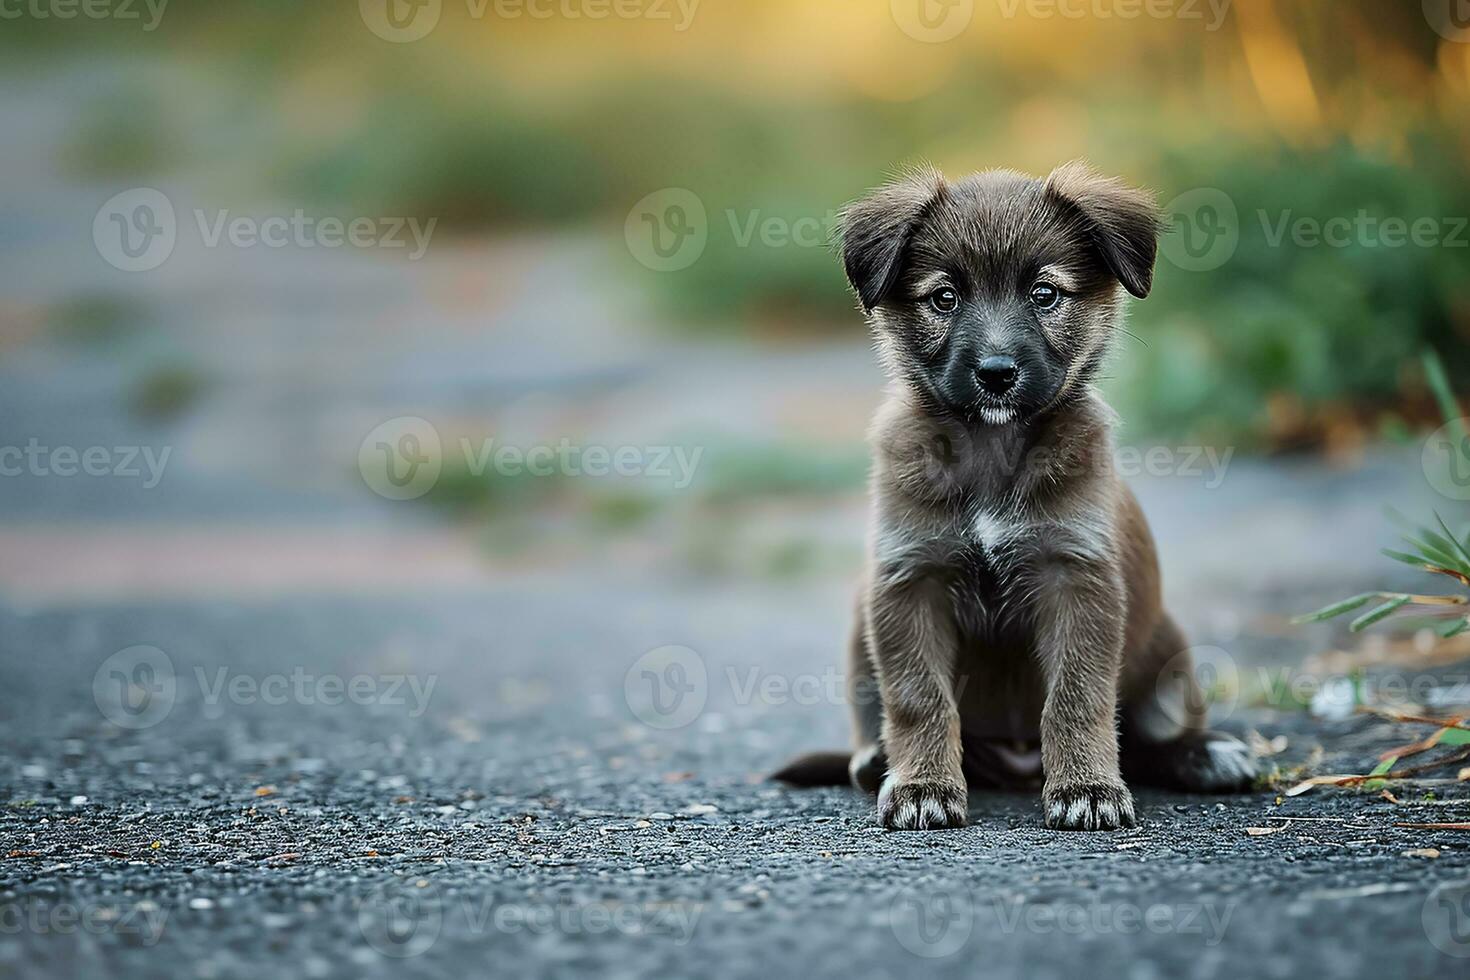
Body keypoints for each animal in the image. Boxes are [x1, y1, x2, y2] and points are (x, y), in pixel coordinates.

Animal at [776, 164, 1258, 834]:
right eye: (944, 298)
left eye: (1045, 294)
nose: (996, 373)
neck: (992, 450)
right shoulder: (910, 580)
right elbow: (920, 698)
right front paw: (923, 785)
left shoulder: (1076, 577)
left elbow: (1078, 697)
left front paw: (1087, 787)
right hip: (858, 639)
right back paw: (879, 764)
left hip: (1169, 656)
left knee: (1148, 743)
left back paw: (1204, 753)